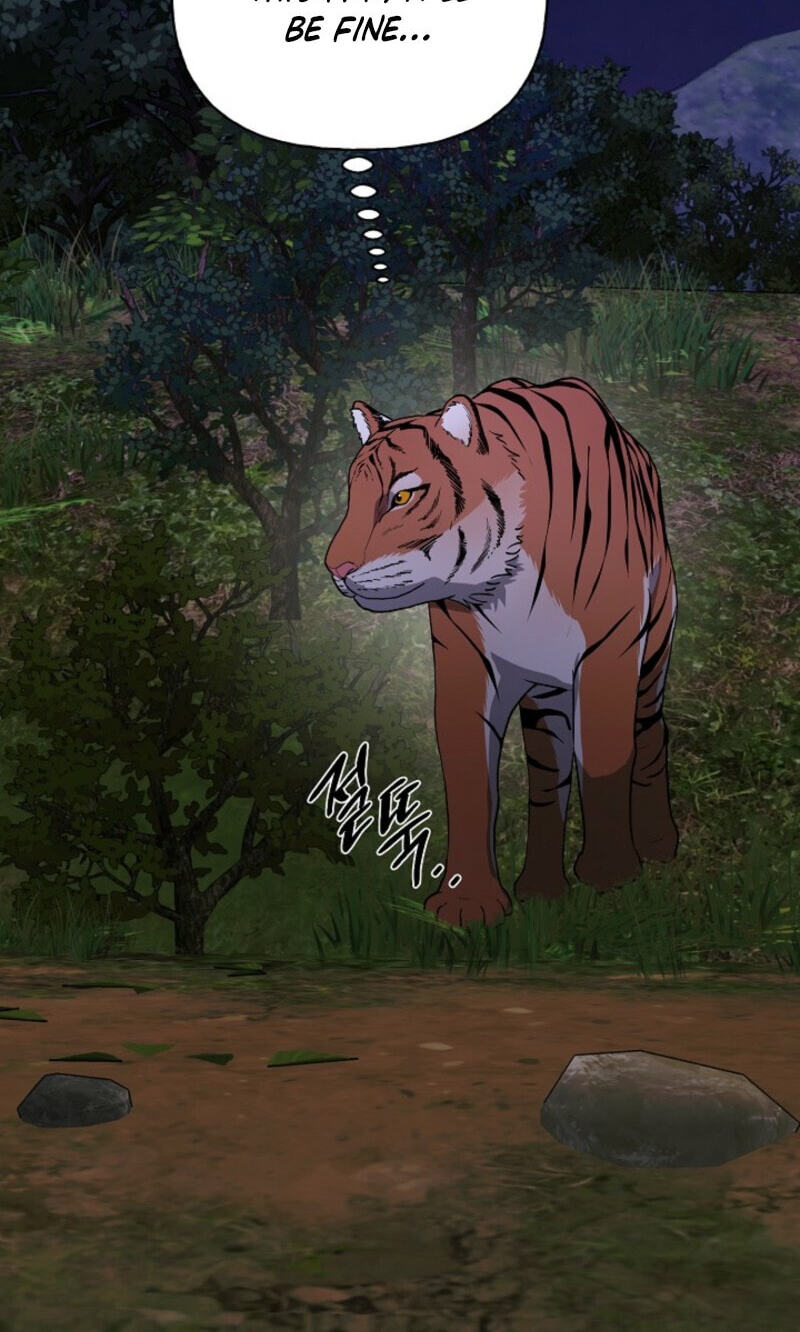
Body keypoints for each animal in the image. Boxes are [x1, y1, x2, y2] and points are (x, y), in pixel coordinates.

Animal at [325, 376, 679, 927]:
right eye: (353, 494)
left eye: (401, 495)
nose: (333, 567)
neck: (506, 583)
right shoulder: (466, 667)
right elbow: (471, 780)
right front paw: (467, 905)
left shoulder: (610, 654)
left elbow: (604, 761)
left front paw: (611, 877)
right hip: (547, 699)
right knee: (547, 782)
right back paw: (540, 890)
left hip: (652, 650)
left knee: (650, 733)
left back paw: (659, 844)